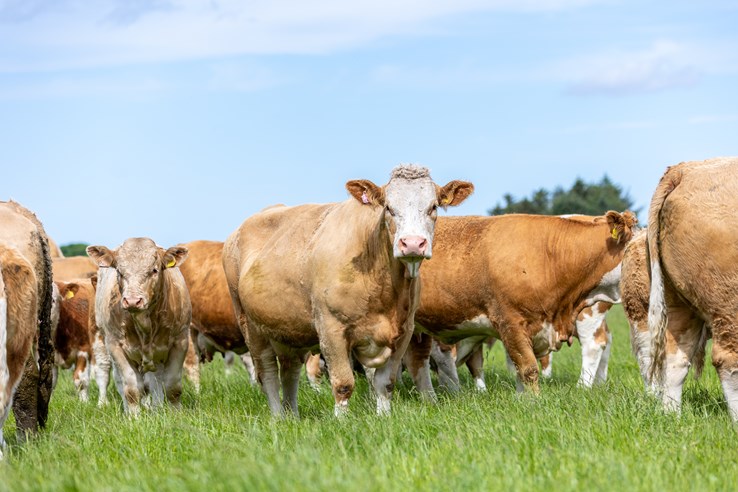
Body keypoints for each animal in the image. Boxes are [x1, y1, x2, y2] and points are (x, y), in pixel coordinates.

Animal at [87, 238, 192, 416]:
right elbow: (131, 389)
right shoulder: (115, 345)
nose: (132, 301)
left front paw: (174, 414)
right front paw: (133, 417)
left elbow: (172, 386)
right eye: (119, 272)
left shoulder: (180, 341)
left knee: (156, 381)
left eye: (154, 270)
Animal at [223, 164, 473, 416]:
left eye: (433, 207)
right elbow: (343, 383)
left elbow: (386, 382)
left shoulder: (404, 330)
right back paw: (278, 417)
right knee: (268, 374)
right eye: (388, 208)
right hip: (250, 326)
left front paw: (384, 416)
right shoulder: (330, 330)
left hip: (287, 329)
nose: (412, 243)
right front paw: (341, 419)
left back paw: (292, 415)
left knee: (289, 371)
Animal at [647, 157, 738, 419]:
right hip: (727, 299)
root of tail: (685, 169)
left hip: (677, 300)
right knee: (727, 359)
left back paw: (672, 416)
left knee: (674, 358)